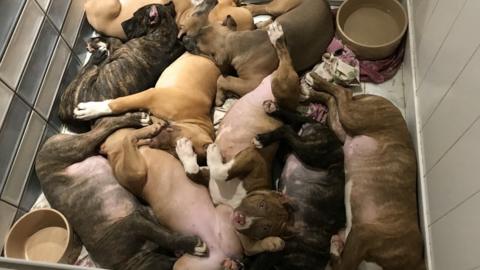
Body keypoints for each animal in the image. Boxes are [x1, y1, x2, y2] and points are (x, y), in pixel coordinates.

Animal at [58, 2, 186, 128]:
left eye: (135, 16)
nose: (122, 23)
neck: (165, 34)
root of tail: (64, 116)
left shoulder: (118, 48)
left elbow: (113, 40)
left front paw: (97, 41)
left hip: (85, 76)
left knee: (91, 65)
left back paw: (97, 55)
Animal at [180, 0, 334, 106]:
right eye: (200, 30)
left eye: (197, 47)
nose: (183, 39)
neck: (238, 43)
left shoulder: (251, 83)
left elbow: (222, 79)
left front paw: (219, 97)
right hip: (279, 8)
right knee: (263, 11)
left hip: (279, 6)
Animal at [236, 106, 344, 268]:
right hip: (314, 153)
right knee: (287, 129)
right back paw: (263, 138)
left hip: (301, 149)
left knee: (294, 123)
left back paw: (272, 111)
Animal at [306, 75, 426, 270]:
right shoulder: (364, 233)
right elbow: (343, 265)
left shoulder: (358, 235)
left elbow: (341, 262)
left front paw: (336, 246)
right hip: (356, 117)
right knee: (343, 93)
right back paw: (317, 82)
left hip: (344, 128)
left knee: (334, 100)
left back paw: (313, 92)